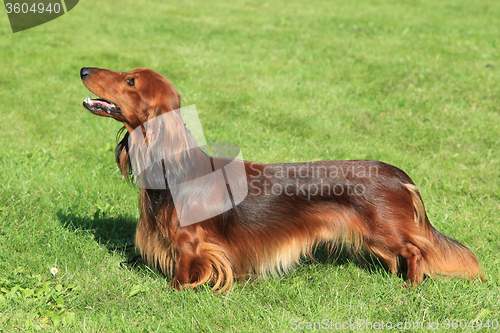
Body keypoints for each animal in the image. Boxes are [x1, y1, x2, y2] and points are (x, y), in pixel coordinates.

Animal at [80, 66, 482, 290]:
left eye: (130, 80)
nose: (83, 69)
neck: (175, 166)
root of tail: (399, 174)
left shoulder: (191, 242)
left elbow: (184, 269)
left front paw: (173, 292)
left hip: (386, 230)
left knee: (417, 251)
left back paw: (411, 286)